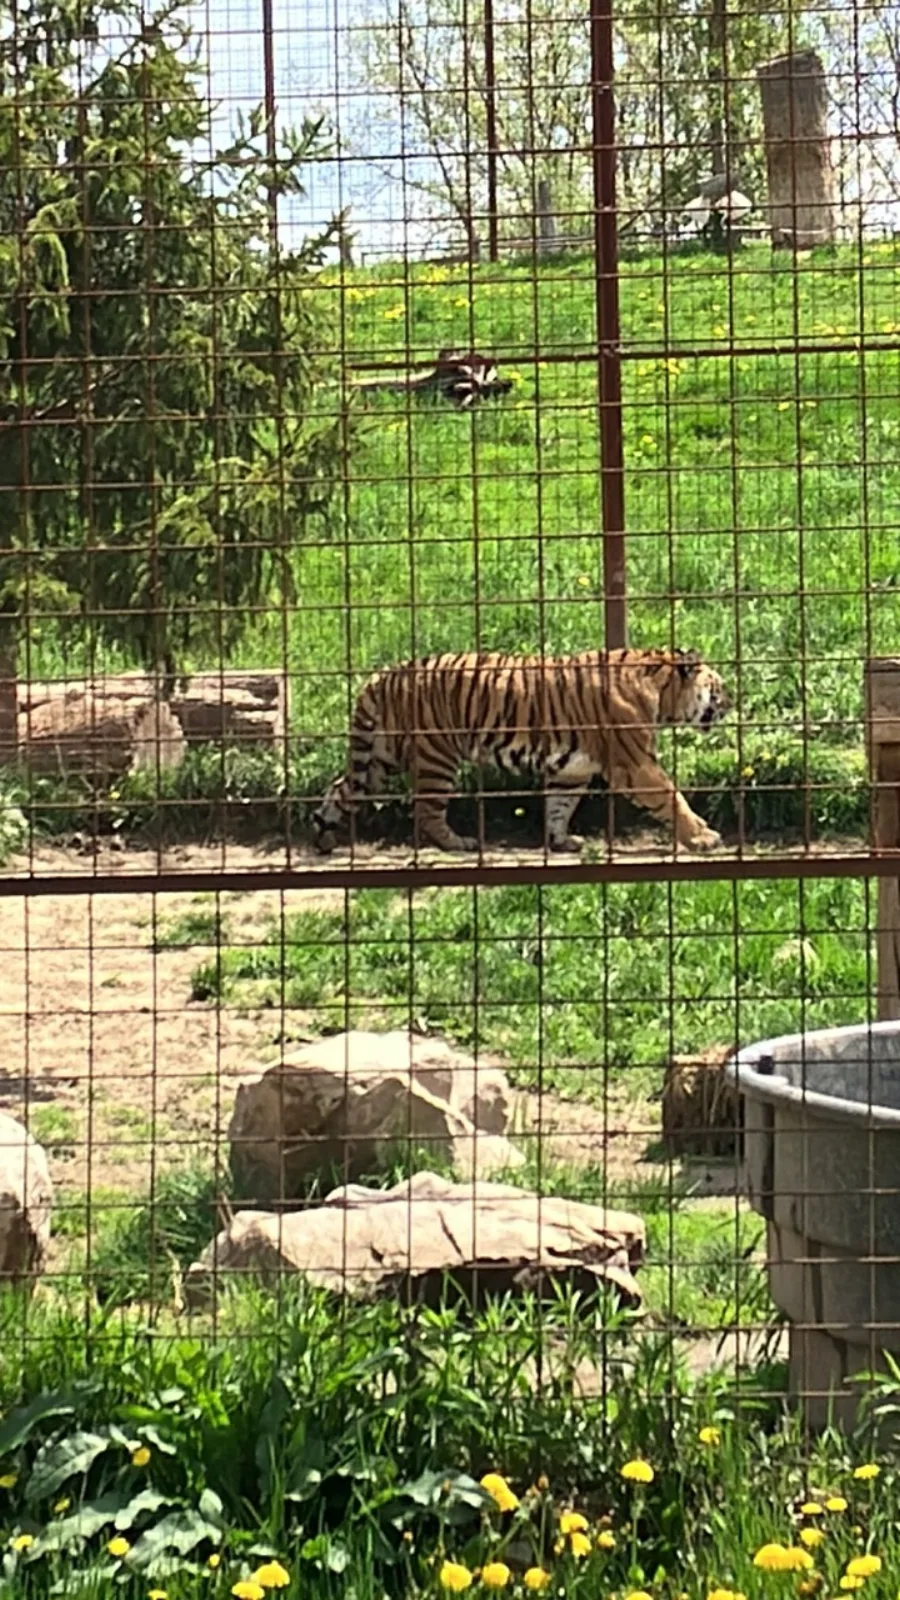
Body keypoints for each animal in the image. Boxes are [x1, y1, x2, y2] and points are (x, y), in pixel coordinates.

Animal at [312, 646, 730, 855]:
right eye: (720, 686)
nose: (731, 703)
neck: (662, 689)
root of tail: (380, 678)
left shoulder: (572, 770)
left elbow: (560, 807)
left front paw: (561, 841)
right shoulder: (635, 764)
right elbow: (672, 798)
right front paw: (703, 837)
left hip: (380, 759)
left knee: (340, 788)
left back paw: (323, 834)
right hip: (436, 757)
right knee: (427, 810)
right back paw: (458, 843)